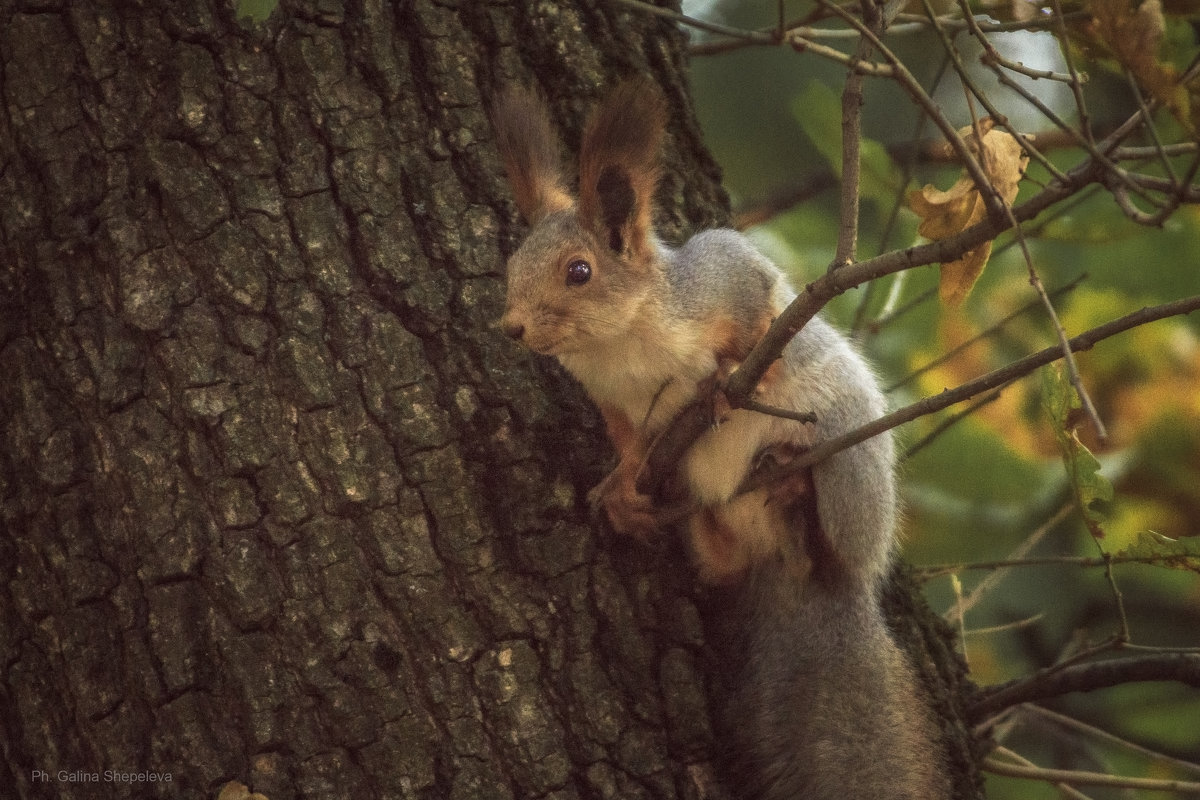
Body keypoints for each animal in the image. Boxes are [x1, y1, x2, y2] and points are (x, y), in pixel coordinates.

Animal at [492, 76, 950, 800]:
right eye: (512, 265)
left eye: (578, 271)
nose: (512, 327)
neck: (620, 345)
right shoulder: (615, 402)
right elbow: (630, 445)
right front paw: (621, 487)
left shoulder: (726, 273)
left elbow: (763, 308)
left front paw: (730, 375)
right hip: (719, 516)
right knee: (726, 558)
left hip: (847, 462)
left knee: (831, 547)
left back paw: (799, 497)